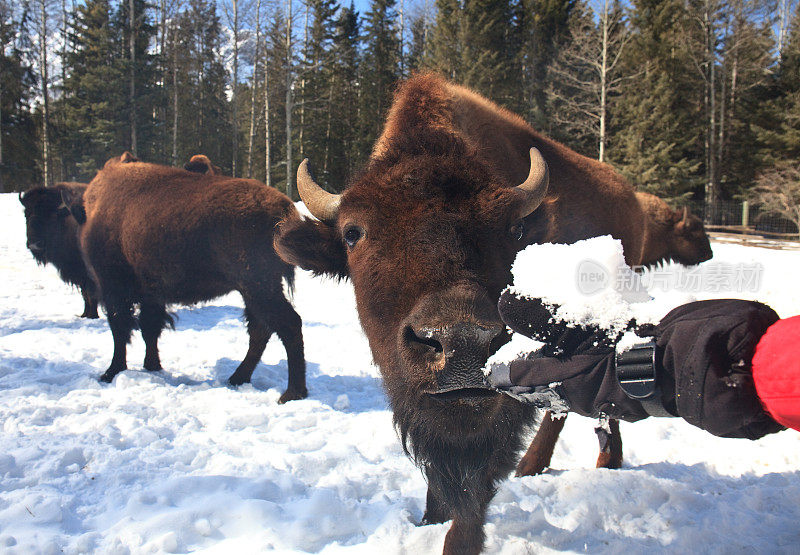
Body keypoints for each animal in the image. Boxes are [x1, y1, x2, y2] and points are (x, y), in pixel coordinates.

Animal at [19, 185, 100, 320]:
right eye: (26, 214)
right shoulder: (80, 275)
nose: (35, 244)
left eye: (50, 215)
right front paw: (84, 315)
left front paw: (92, 316)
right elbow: (85, 295)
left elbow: (90, 295)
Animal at [78, 152, 308, 404]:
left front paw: (111, 372)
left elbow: (120, 329)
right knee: (261, 329)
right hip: (254, 290)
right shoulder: (150, 294)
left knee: (287, 324)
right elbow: (149, 328)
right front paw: (152, 366)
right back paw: (237, 378)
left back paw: (291, 393)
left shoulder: (113, 287)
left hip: (259, 288)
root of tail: (283, 208)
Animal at [276, 75, 648, 555]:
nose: (463, 343)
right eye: (353, 233)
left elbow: (476, 486)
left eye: (514, 230)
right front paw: (429, 518)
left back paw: (571, 462)